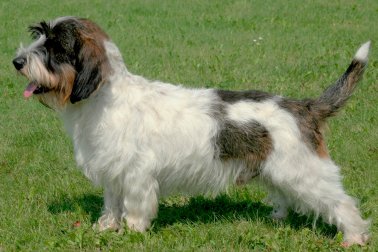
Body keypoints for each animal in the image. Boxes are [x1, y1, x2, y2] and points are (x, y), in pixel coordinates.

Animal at [13, 17, 370, 246]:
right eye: (40, 37)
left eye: (55, 47)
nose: (17, 62)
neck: (105, 98)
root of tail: (303, 107)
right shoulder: (113, 172)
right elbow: (112, 205)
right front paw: (105, 228)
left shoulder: (136, 174)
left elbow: (135, 206)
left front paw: (132, 231)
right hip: (278, 170)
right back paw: (278, 216)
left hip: (305, 171)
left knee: (343, 203)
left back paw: (354, 237)